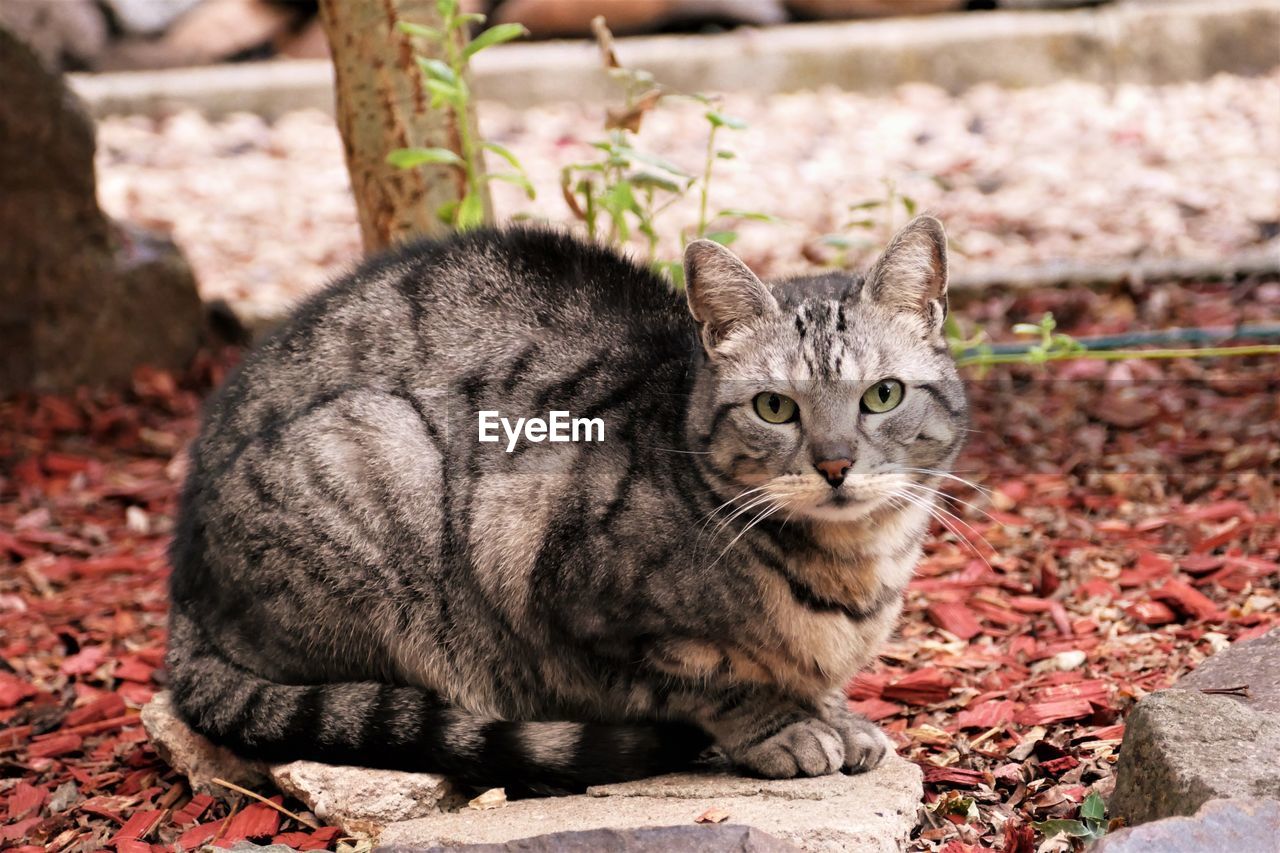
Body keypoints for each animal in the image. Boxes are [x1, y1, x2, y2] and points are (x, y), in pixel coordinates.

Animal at [170, 212, 967, 788]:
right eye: (775, 407)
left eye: (882, 395)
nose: (835, 464)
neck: (854, 569)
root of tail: (181, 588)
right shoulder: (550, 579)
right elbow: (710, 681)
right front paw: (786, 725)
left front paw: (836, 712)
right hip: (382, 450)